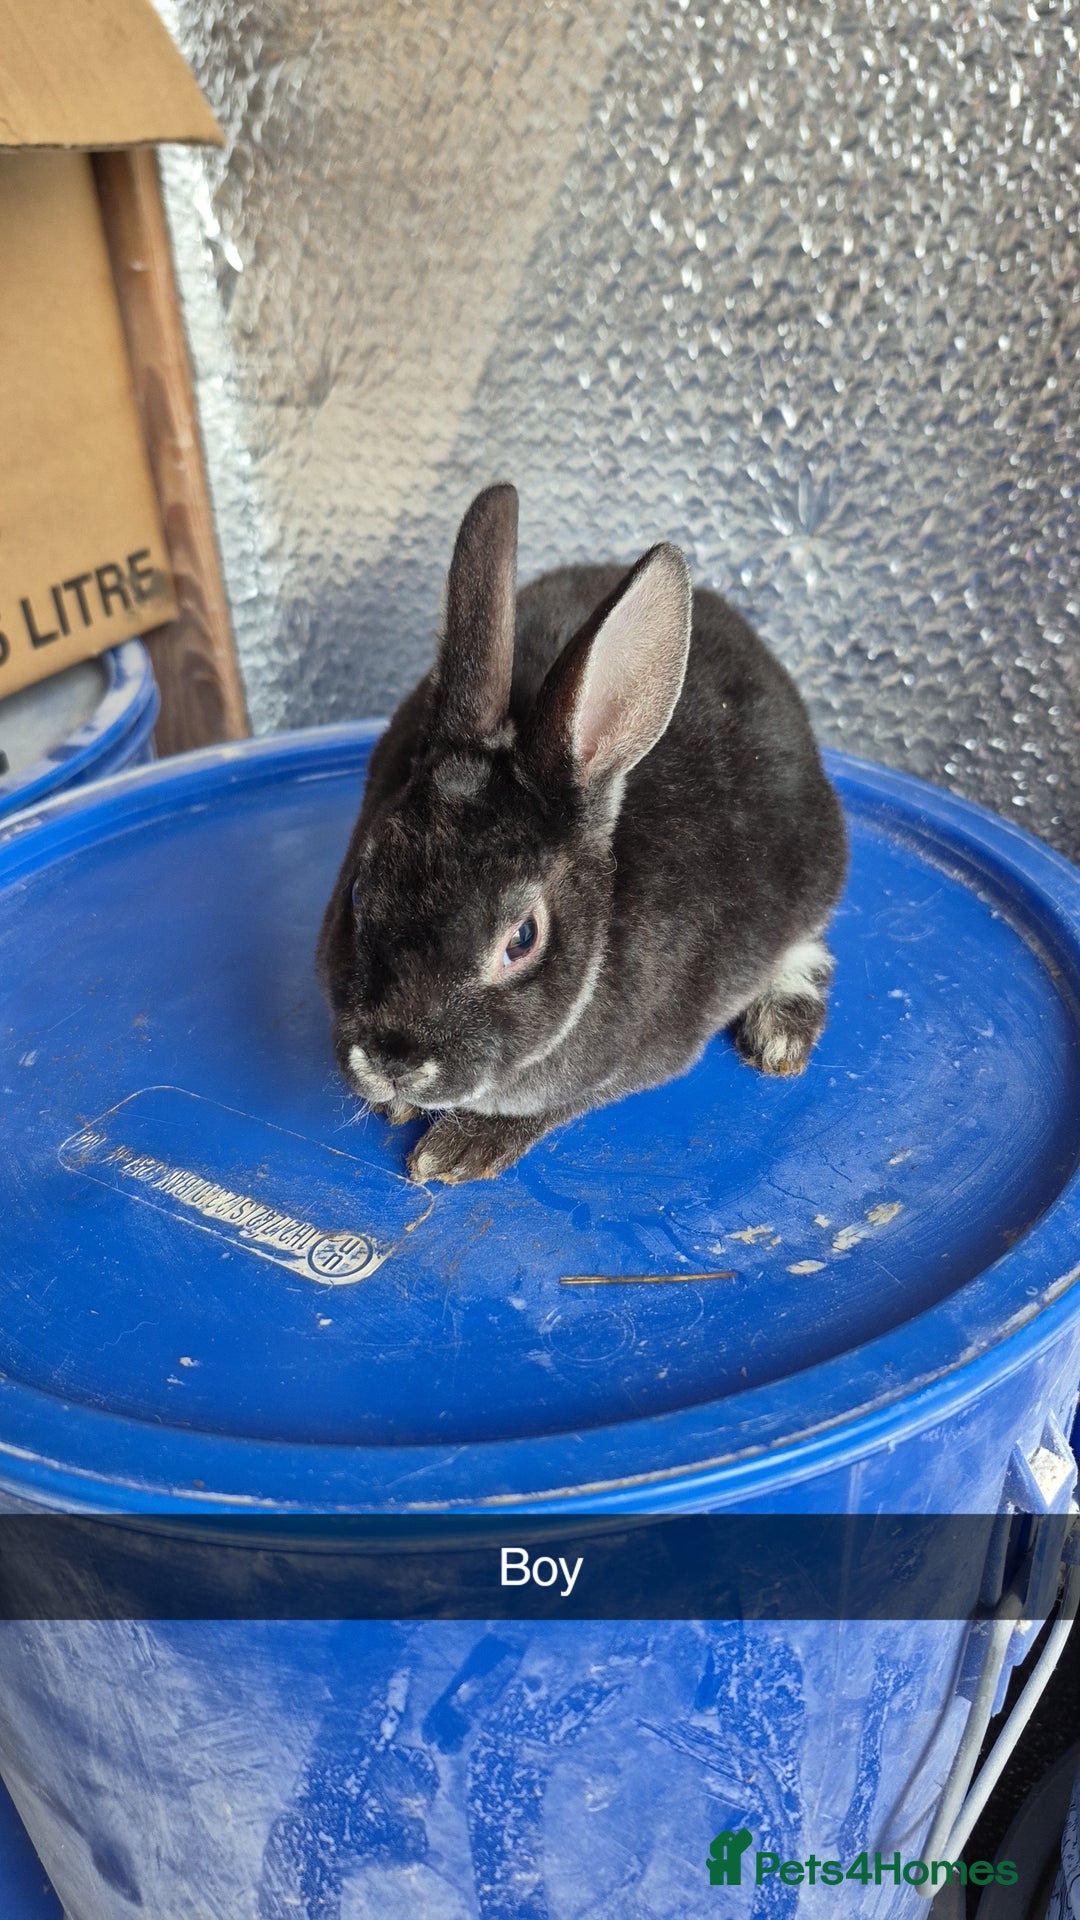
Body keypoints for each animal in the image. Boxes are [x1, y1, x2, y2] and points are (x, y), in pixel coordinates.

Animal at [317, 484, 847, 1185]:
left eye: (522, 939)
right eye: (357, 894)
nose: (390, 1063)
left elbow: (557, 1103)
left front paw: (458, 1150)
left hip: (815, 871)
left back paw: (781, 1035)